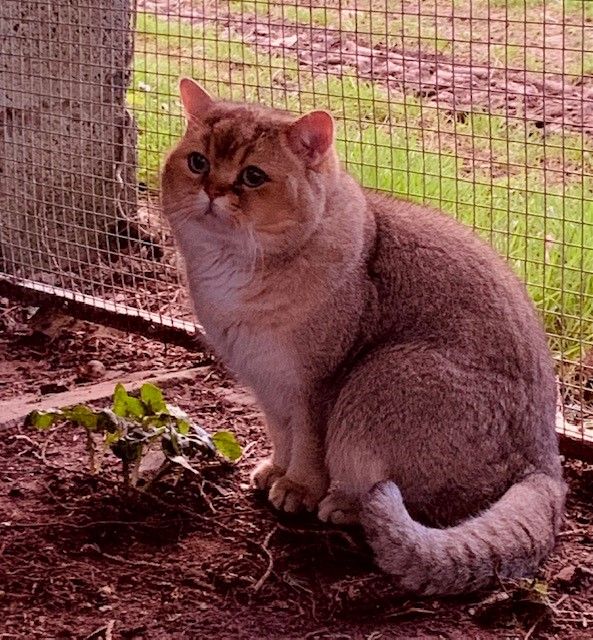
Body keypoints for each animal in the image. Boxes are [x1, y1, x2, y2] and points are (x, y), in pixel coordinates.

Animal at [161, 79, 564, 596]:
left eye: (252, 176)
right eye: (198, 162)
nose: (212, 190)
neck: (234, 270)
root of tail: (546, 464)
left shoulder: (318, 384)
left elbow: (309, 444)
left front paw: (298, 487)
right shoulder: (267, 383)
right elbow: (281, 434)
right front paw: (275, 468)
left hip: (385, 374)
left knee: (410, 501)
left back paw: (345, 504)